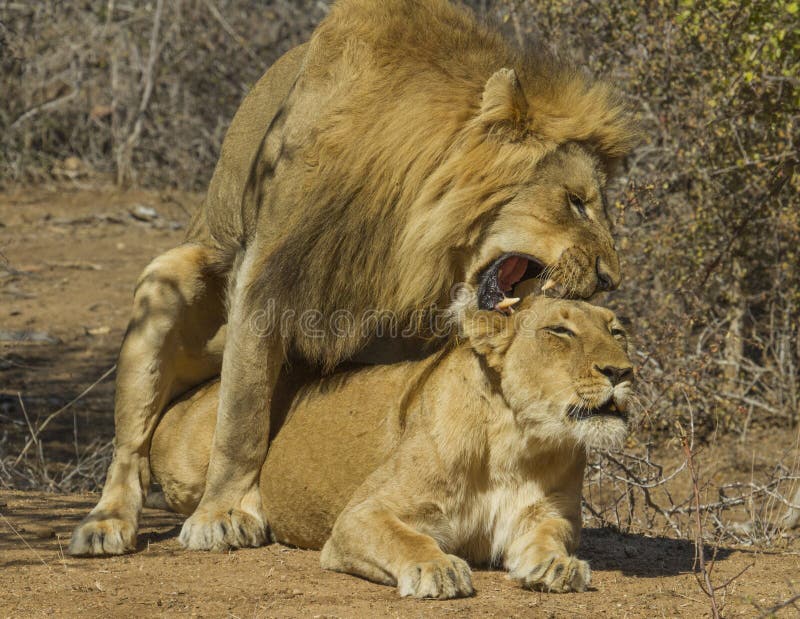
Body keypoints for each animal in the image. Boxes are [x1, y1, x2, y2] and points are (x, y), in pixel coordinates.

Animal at [67, 0, 636, 556]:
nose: (610, 277)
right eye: (576, 202)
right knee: (130, 446)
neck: (400, 227)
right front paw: (222, 514)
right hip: (167, 281)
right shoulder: (264, 276)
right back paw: (105, 525)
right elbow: (241, 416)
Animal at [148, 298, 632, 600]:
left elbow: (551, 536)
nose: (623, 372)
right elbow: (406, 538)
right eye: (560, 330)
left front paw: (558, 566)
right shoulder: (361, 515)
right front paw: (437, 569)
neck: (517, 442)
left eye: (617, 330)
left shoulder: (549, 514)